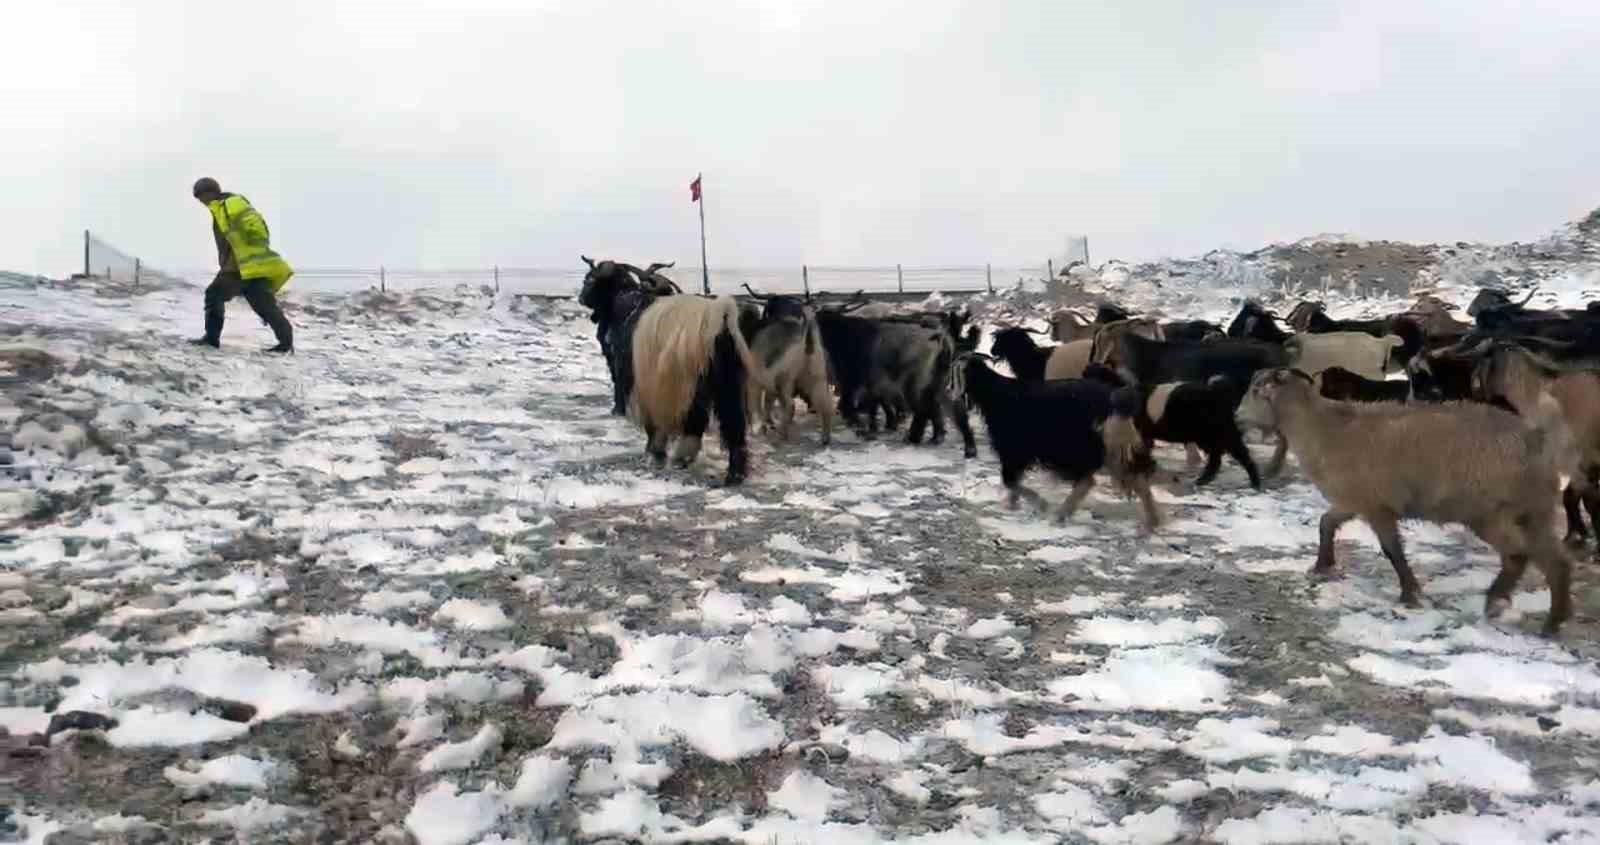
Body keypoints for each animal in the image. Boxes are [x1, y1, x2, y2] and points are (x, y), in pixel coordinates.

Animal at [947, 355, 1164, 528]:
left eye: (955, 373)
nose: (949, 391)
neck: (995, 395)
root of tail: (1116, 401)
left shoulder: (1013, 448)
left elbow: (1010, 480)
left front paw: (1038, 503)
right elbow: (1013, 480)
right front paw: (1012, 505)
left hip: (1082, 444)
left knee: (1089, 480)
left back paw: (1061, 514)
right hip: (1109, 445)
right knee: (1132, 477)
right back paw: (1152, 521)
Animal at [1235, 366, 1574, 636]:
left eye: (1256, 390)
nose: (1236, 418)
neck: (1322, 429)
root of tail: (1537, 439)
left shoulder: (1376, 505)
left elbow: (1392, 550)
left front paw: (1411, 594)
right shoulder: (1354, 500)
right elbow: (1326, 523)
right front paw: (1322, 566)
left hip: (1493, 511)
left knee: (1522, 556)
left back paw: (1524, 614)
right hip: (1533, 509)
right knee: (1549, 559)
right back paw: (1535, 613)